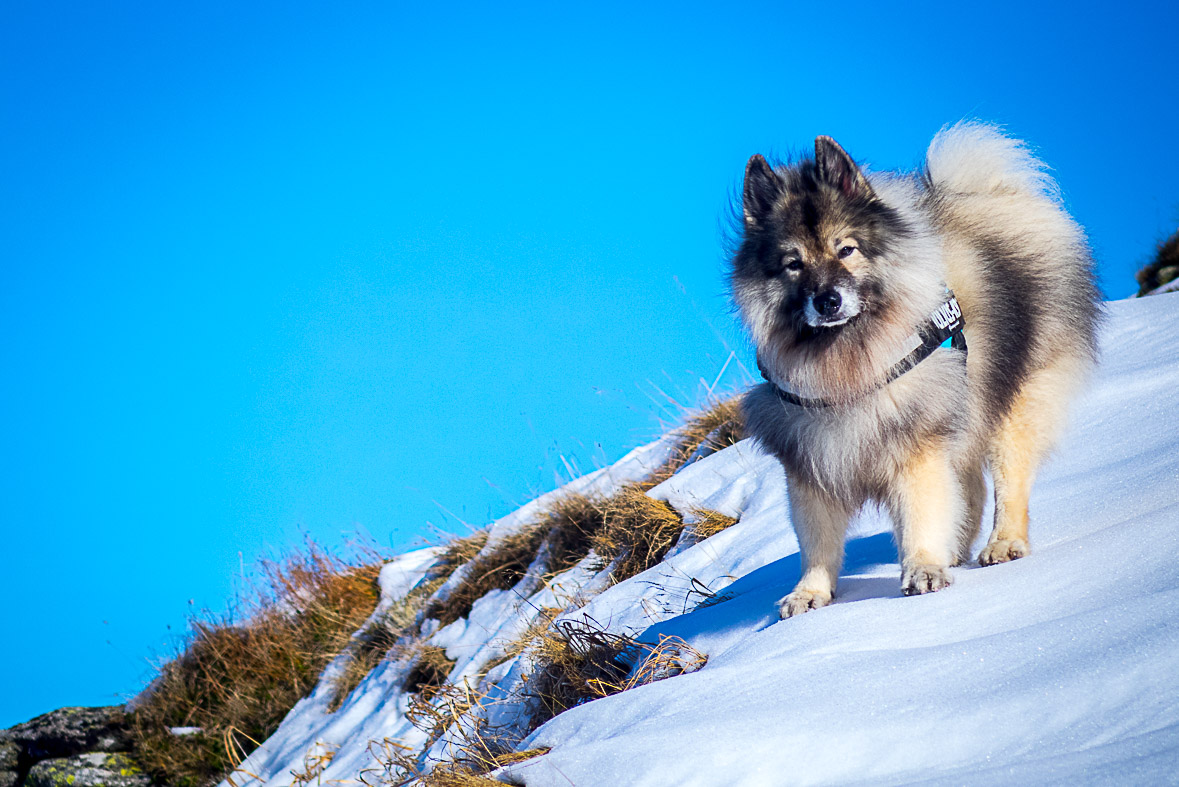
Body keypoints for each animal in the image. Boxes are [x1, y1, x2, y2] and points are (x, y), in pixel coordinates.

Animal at [730, 123, 1098, 617]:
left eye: (846, 249)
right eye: (793, 264)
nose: (827, 301)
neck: (847, 361)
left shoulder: (915, 446)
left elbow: (921, 513)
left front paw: (923, 568)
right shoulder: (811, 462)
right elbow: (816, 542)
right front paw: (810, 593)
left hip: (1013, 402)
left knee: (1008, 481)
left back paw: (1002, 543)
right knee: (970, 488)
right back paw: (957, 550)